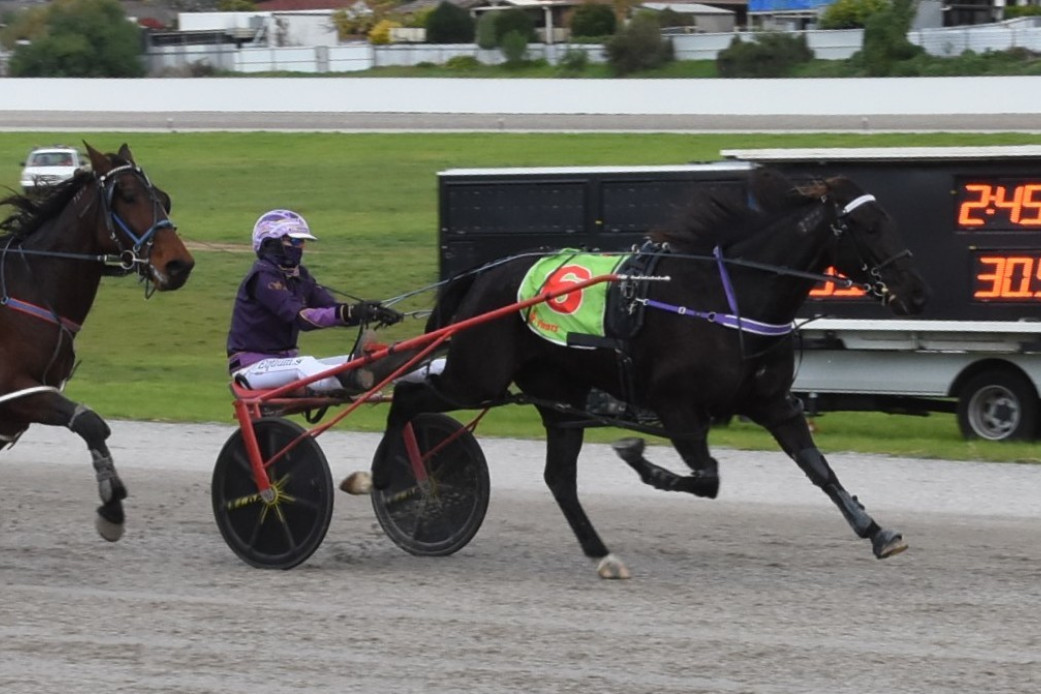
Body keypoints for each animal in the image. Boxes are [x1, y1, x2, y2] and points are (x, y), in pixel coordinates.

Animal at [0, 142, 195, 541]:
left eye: (164, 199)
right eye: (128, 195)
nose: (178, 264)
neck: (27, 291)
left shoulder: (24, 402)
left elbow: (93, 424)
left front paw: (112, 504)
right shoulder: (13, 386)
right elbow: (90, 422)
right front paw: (112, 507)